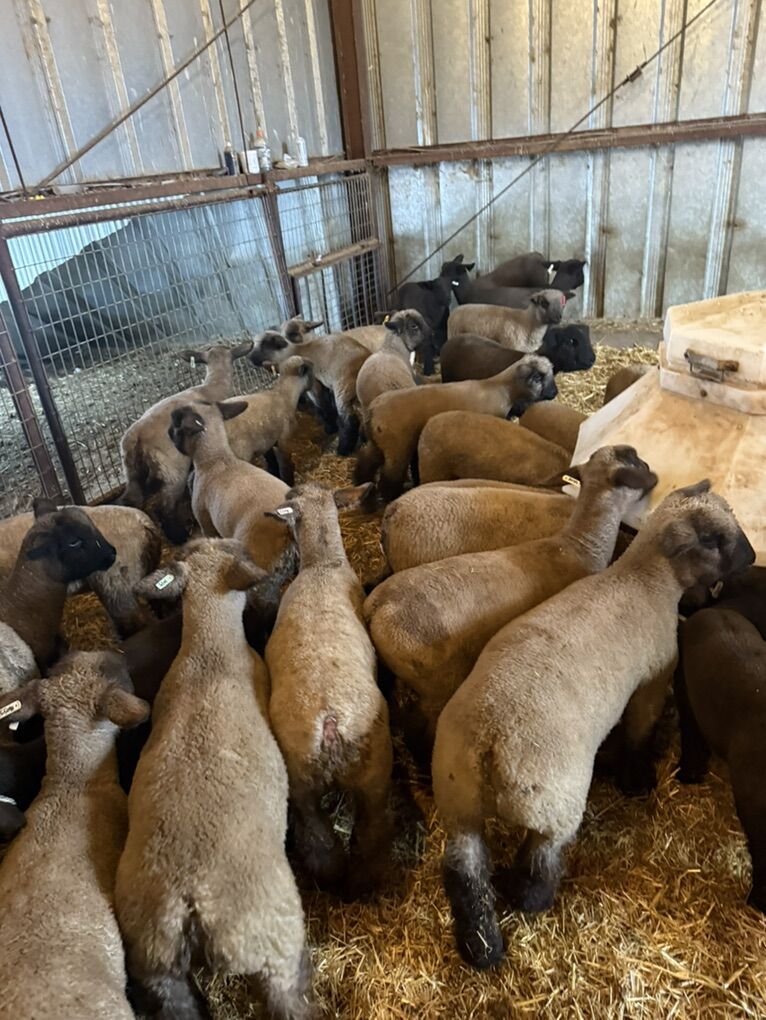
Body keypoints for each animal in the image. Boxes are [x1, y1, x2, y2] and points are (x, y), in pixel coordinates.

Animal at [120, 338, 253, 542]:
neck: (210, 387)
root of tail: (136, 435)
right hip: (173, 469)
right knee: (165, 507)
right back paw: (179, 535)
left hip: (132, 470)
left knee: (132, 498)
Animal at [222, 355, 314, 484]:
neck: (283, 394)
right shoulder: (284, 440)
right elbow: (285, 465)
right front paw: (289, 482)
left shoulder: (267, 442)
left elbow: (271, 461)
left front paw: (275, 474)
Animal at [251, 320, 371, 454]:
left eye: (264, 344)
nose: (250, 358)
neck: (295, 351)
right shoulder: (324, 384)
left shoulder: (313, 383)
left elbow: (321, 405)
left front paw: (330, 428)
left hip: (343, 388)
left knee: (349, 421)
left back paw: (343, 450)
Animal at [265, 482, 393, 896]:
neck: (322, 565)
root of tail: (330, 724)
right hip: (364, 776)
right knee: (359, 834)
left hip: (320, 782)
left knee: (331, 837)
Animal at [431, 481, 754, 969]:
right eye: (716, 539)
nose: (753, 557)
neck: (643, 580)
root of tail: (489, 745)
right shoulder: (653, 678)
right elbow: (639, 730)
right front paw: (637, 780)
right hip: (553, 806)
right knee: (539, 864)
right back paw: (527, 898)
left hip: (458, 803)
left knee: (464, 874)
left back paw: (481, 947)